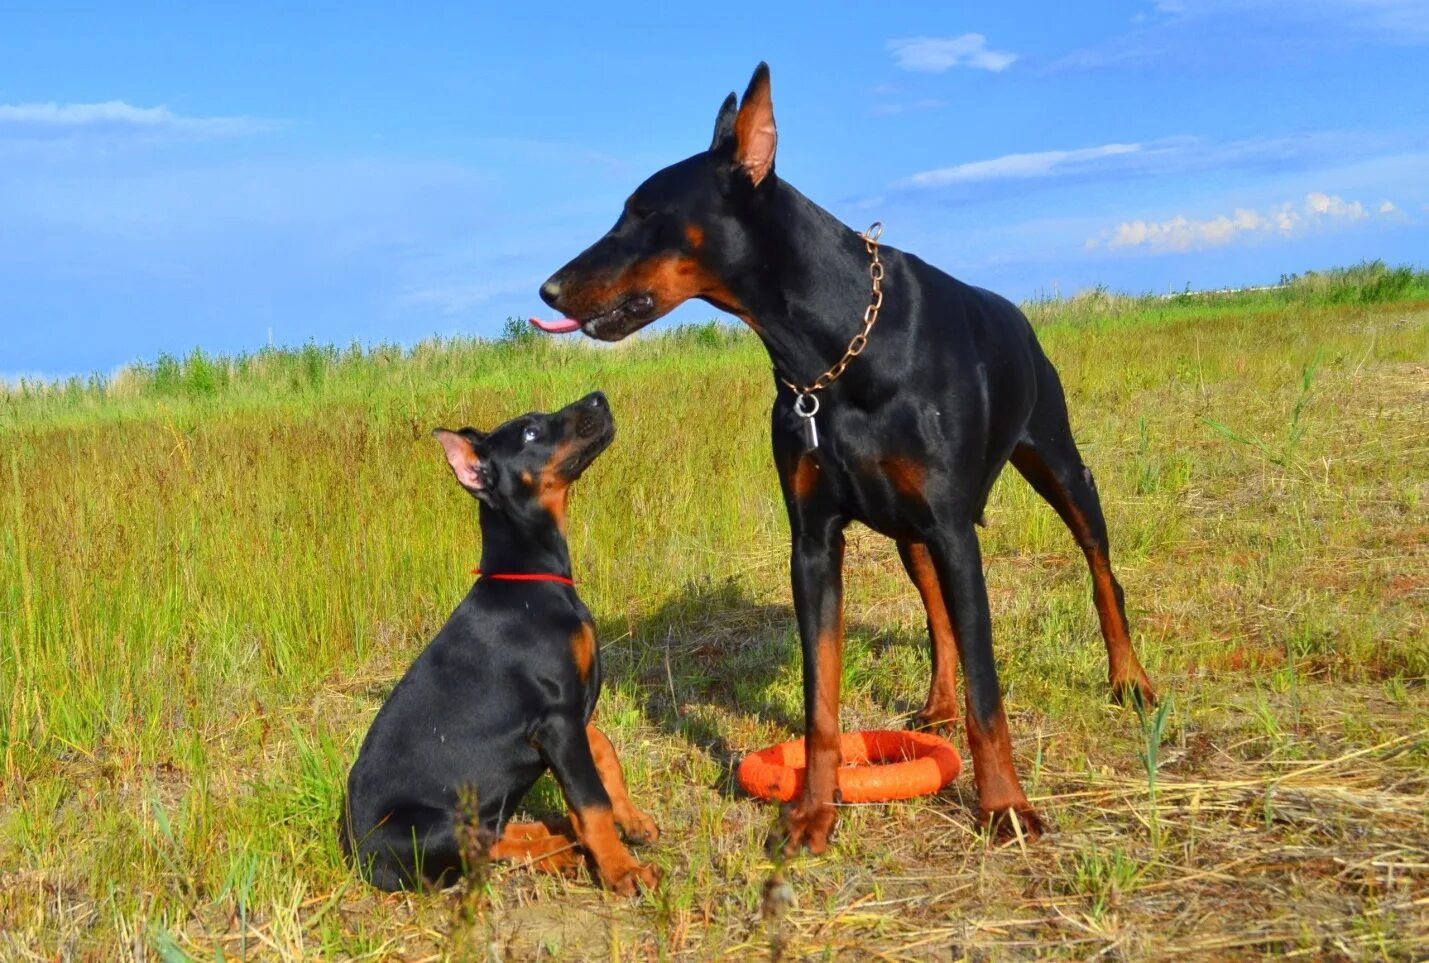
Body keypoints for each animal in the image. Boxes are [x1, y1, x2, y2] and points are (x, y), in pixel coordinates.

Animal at [342, 391, 660, 891]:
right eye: (530, 432)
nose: (598, 397)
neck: (531, 579)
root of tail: (359, 857)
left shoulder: (567, 711)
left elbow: (604, 752)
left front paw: (632, 820)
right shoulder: (556, 719)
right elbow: (590, 801)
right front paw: (621, 869)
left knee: (493, 834)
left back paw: (557, 841)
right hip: (434, 826)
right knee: (480, 850)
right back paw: (559, 848)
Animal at [540, 63, 1154, 851]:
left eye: (645, 213)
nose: (548, 289)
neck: (829, 354)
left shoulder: (954, 529)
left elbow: (990, 692)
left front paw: (1004, 806)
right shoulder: (813, 541)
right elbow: (821, 697)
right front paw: (812, 811)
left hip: (1058, 467)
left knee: (1101, 573)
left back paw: (1129, 680)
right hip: (911, 532)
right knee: (937, 615)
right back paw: (936, 704)